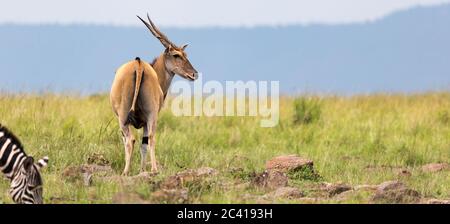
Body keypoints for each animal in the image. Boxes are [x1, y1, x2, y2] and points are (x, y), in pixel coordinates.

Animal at [110, 14, 198, 175]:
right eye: (177, 55)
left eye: (185, 54)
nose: (194, 74)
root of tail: (138, 65)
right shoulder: (145, 121)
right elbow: (144, 143)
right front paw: (142, 170)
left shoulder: (141, 121)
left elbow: (140, 143)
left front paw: (141, 170)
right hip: (146, 116)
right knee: (146, 138)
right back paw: (150, 169)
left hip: (128, 116)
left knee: (133, 139)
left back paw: (132, 171)